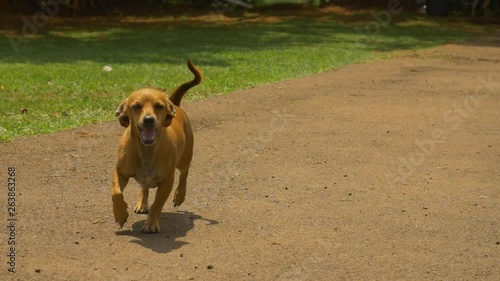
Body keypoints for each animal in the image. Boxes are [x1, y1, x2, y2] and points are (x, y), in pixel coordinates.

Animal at [112, 59, 202, 232]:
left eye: (159, 106)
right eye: (136, 106)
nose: (148, 119)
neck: (146, 150)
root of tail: (175, 104)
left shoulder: (167, 181)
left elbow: (157, 204)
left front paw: (151, 223)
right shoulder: (120, 173)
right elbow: (116, 193)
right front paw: (120, 214)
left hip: (185, 157)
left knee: (184, 173)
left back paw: (180, 194)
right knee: (144, 186)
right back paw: (142, 202)